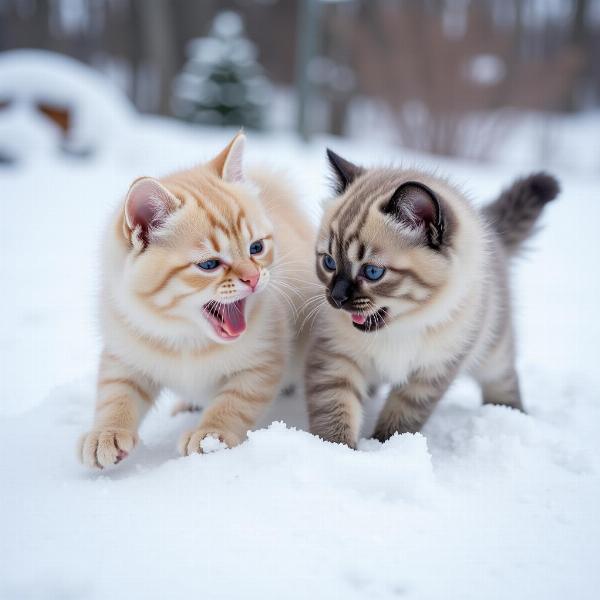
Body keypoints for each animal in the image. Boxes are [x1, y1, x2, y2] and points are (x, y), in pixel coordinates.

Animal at [77, 134, 314, 466]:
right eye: (209, 264)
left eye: (256, 248)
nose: (254, 278)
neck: (186, 338)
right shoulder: (124, 349)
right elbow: (115, 392)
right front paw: (106, 432)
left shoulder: (264, 361)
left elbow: (234, 403)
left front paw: (210, 435)